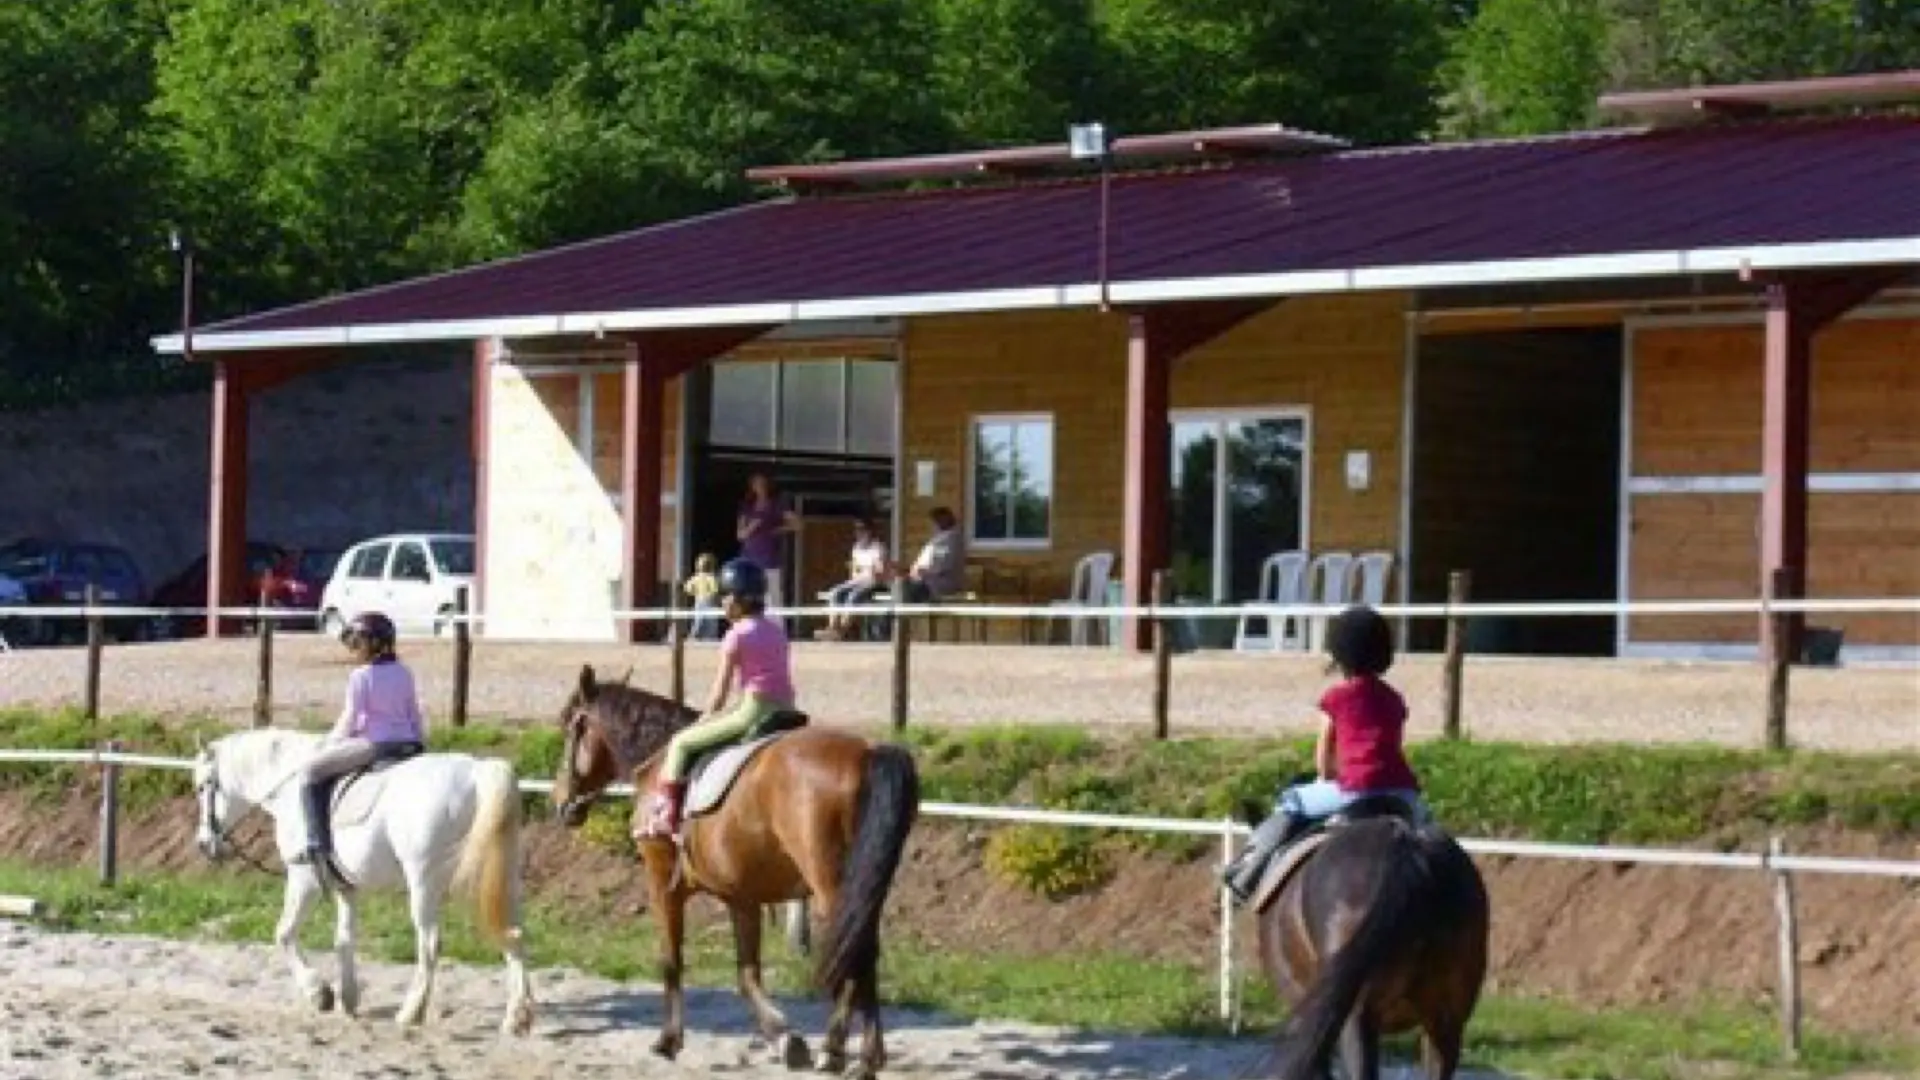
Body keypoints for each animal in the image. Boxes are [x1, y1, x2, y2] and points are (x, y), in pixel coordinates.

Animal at [192, 726, 537, 1030]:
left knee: (430, 943)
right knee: (513, 934)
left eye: (201, 787)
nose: (203, 844)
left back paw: (411, 1013)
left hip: (424, 883)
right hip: (500, 880)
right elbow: (344, 940)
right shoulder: (347, 887)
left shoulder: (304, 879)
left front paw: (319, 994)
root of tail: (476, 772)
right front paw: (348, 998)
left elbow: (284, 933)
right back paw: (517, 1018)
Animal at [552, 661, 917, 1068]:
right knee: (863, 951)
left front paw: (668, 1040)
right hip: (865, 886)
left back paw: (836, 1050)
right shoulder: (741, 897)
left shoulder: (662, 880)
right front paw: (783, 1037)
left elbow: (671, 959)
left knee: (855, 953)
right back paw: (867, 1056)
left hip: (832, 885)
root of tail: (867, 753)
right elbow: (746, 973)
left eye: (568, 726)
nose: (561, 802)